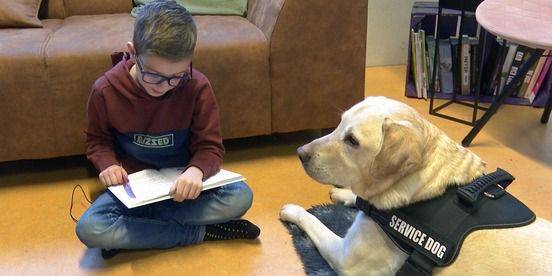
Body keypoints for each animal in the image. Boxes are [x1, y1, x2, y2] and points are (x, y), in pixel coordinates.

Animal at [280, 96, 552, 274]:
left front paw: (293, 211)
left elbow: (314, 221)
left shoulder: (346, 259)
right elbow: (358, 199)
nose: (300, 153)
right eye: (338, 124)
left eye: (352, 141)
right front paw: (345, 194)